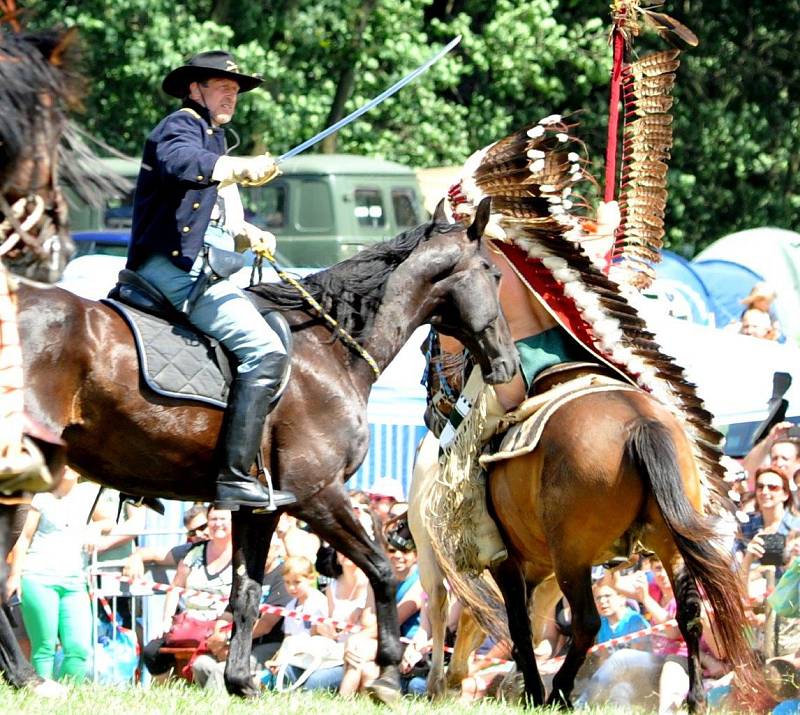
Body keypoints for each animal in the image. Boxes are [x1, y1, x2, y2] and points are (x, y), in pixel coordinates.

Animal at [17, 200, 520, 700]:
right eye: (494, 272)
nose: (508, 364)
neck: (331, 351)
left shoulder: (259, 508)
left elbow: (246, 592)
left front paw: (240, 681)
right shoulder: (318, 495)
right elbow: (382, 571)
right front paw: (389, 673)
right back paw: (28, 678)